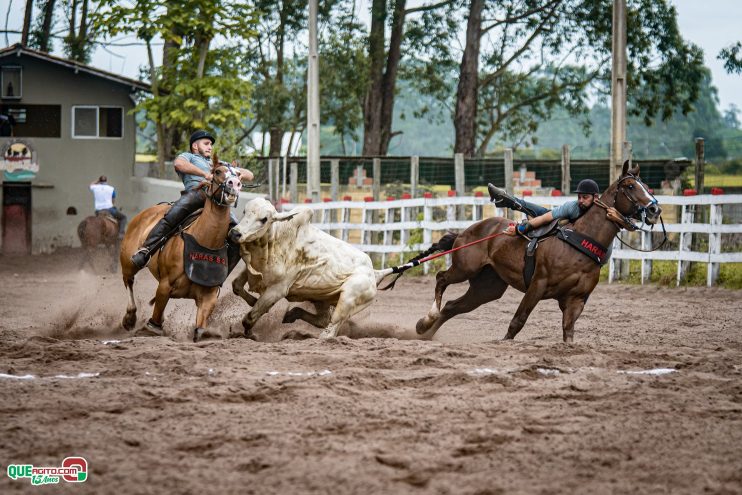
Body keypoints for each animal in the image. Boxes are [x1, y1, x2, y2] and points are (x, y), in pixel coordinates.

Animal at [118, 156, 241, 340]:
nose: (235, 184)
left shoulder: (209, 297)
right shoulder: (165, 285)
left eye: (239, 173)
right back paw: (130, 318)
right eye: (217, 171)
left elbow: (200, 329)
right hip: (128, 262)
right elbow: (155, 319)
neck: (204, 242)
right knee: (129, 281)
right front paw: (151, 326)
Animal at [231, 200, 396, 340]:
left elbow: (250, 318)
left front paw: (250, 334)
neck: (276, 240)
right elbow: (236, 286)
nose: (235, 233)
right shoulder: (252, 271)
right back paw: (291, 316)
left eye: (264, 219)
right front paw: (252, 301)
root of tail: (374, 273)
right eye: (244, 211)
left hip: (348, 300)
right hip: (321, 298)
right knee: (323, 320)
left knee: (331, 328)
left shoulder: (277, 290)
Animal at [416, 161, 664, 342]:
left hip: (487, 287)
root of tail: (465, 231)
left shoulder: (577, 298)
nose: (654, 209)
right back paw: (428, 318)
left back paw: (424, 331)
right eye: (630, 186)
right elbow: (518, 321)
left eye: (645, 185)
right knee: (441, 279)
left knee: (452, 307)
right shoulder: (538, 284)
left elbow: (568, 330)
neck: (580, 241)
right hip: (465, 268)